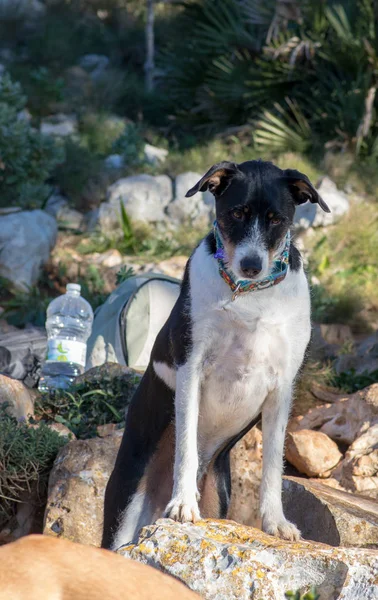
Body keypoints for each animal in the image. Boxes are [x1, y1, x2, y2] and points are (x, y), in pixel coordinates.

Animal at [102, 158, 330, 548]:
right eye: (236, 213)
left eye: (276, 219)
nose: (251, 265)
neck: (250, 294)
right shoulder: (191, 368)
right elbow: (186, 447)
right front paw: (183, 503)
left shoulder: (282, 390)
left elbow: (273, 466)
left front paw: (276, 522)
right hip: (124, 508)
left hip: (219, 495)